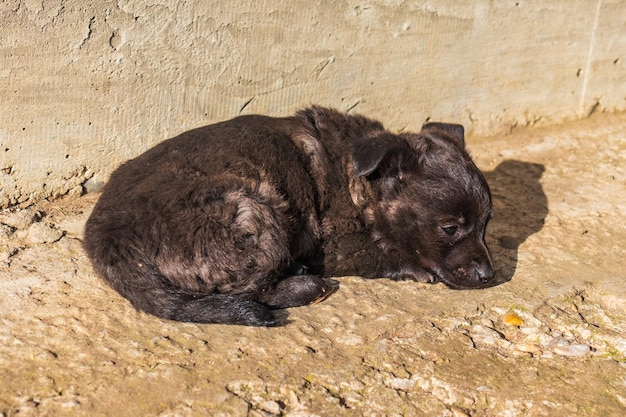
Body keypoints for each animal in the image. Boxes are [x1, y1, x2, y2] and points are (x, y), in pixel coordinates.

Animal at [83, 105, 492, 324]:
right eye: (450, 228)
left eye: (487, 223)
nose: (489, 277)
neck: (359, 178)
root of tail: (106, 238)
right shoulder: (335, 244)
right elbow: (381, 252)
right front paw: (414, 267)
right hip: (257, 213)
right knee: (252, 290)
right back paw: (305, 285)